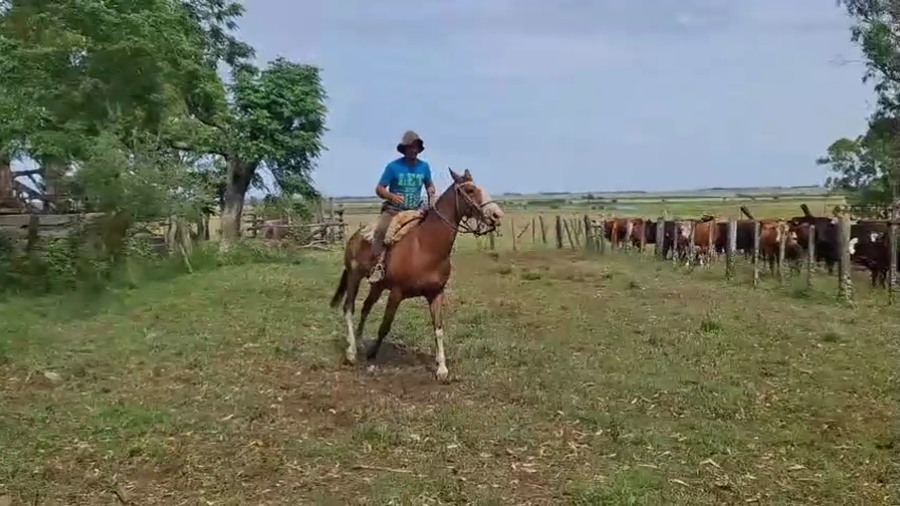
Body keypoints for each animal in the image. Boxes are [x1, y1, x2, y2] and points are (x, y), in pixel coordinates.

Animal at [329, 168, 504, 382]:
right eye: (470, 190)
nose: (497, 214)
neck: (425, 247)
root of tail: (355, 237)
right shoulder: (396, 293)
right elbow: (384, 326)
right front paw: (372, 359)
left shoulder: (436, 294)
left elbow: (438, 328)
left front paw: (442, 368)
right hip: (354, 276)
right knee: (349, 308)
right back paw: (352, 352)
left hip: (377, 285)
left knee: (365, 308)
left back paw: (360, 343)